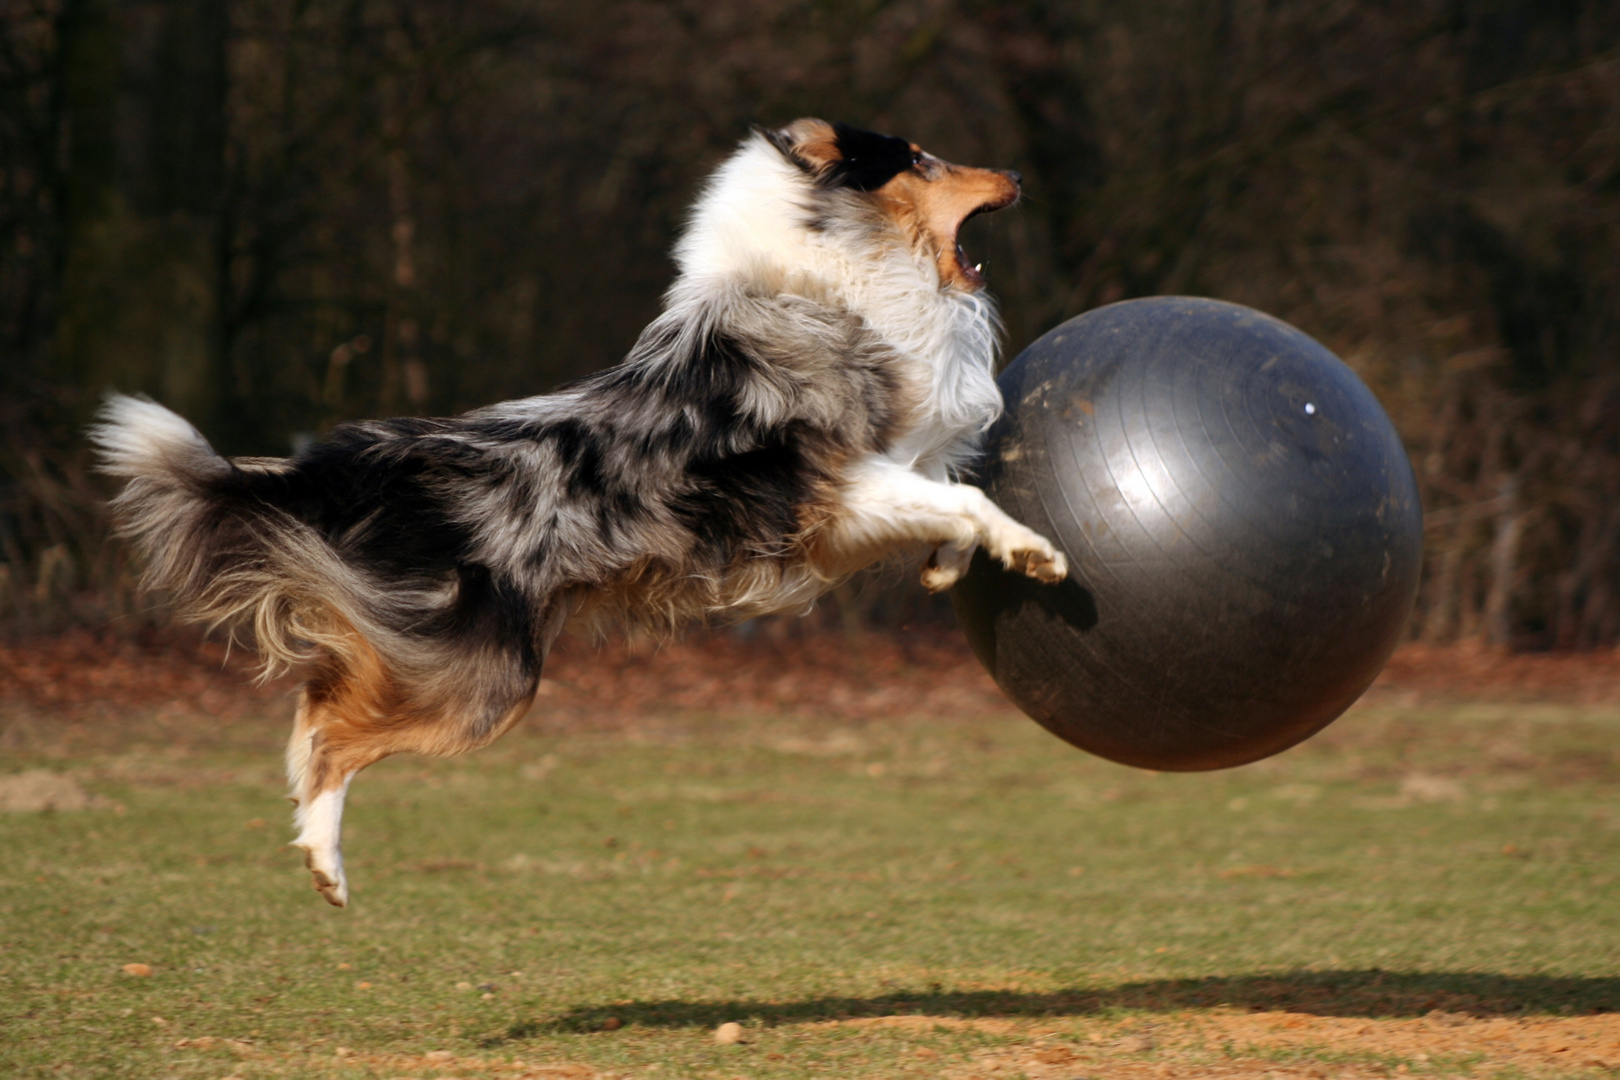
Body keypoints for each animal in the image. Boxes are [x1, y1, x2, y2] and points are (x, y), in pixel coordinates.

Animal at [94, 118, 1069, 906]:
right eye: (922, 157)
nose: (1021, 173)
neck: (827, 273)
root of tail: (358, 466)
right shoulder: (837, 485)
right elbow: (964, 493)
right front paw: (1037, 553)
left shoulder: (863, 497)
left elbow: (948, 499)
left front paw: (950, 564)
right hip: (485, 680)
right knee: (333, 735)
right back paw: (324, 864)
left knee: (314, 704)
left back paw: (308, 831)